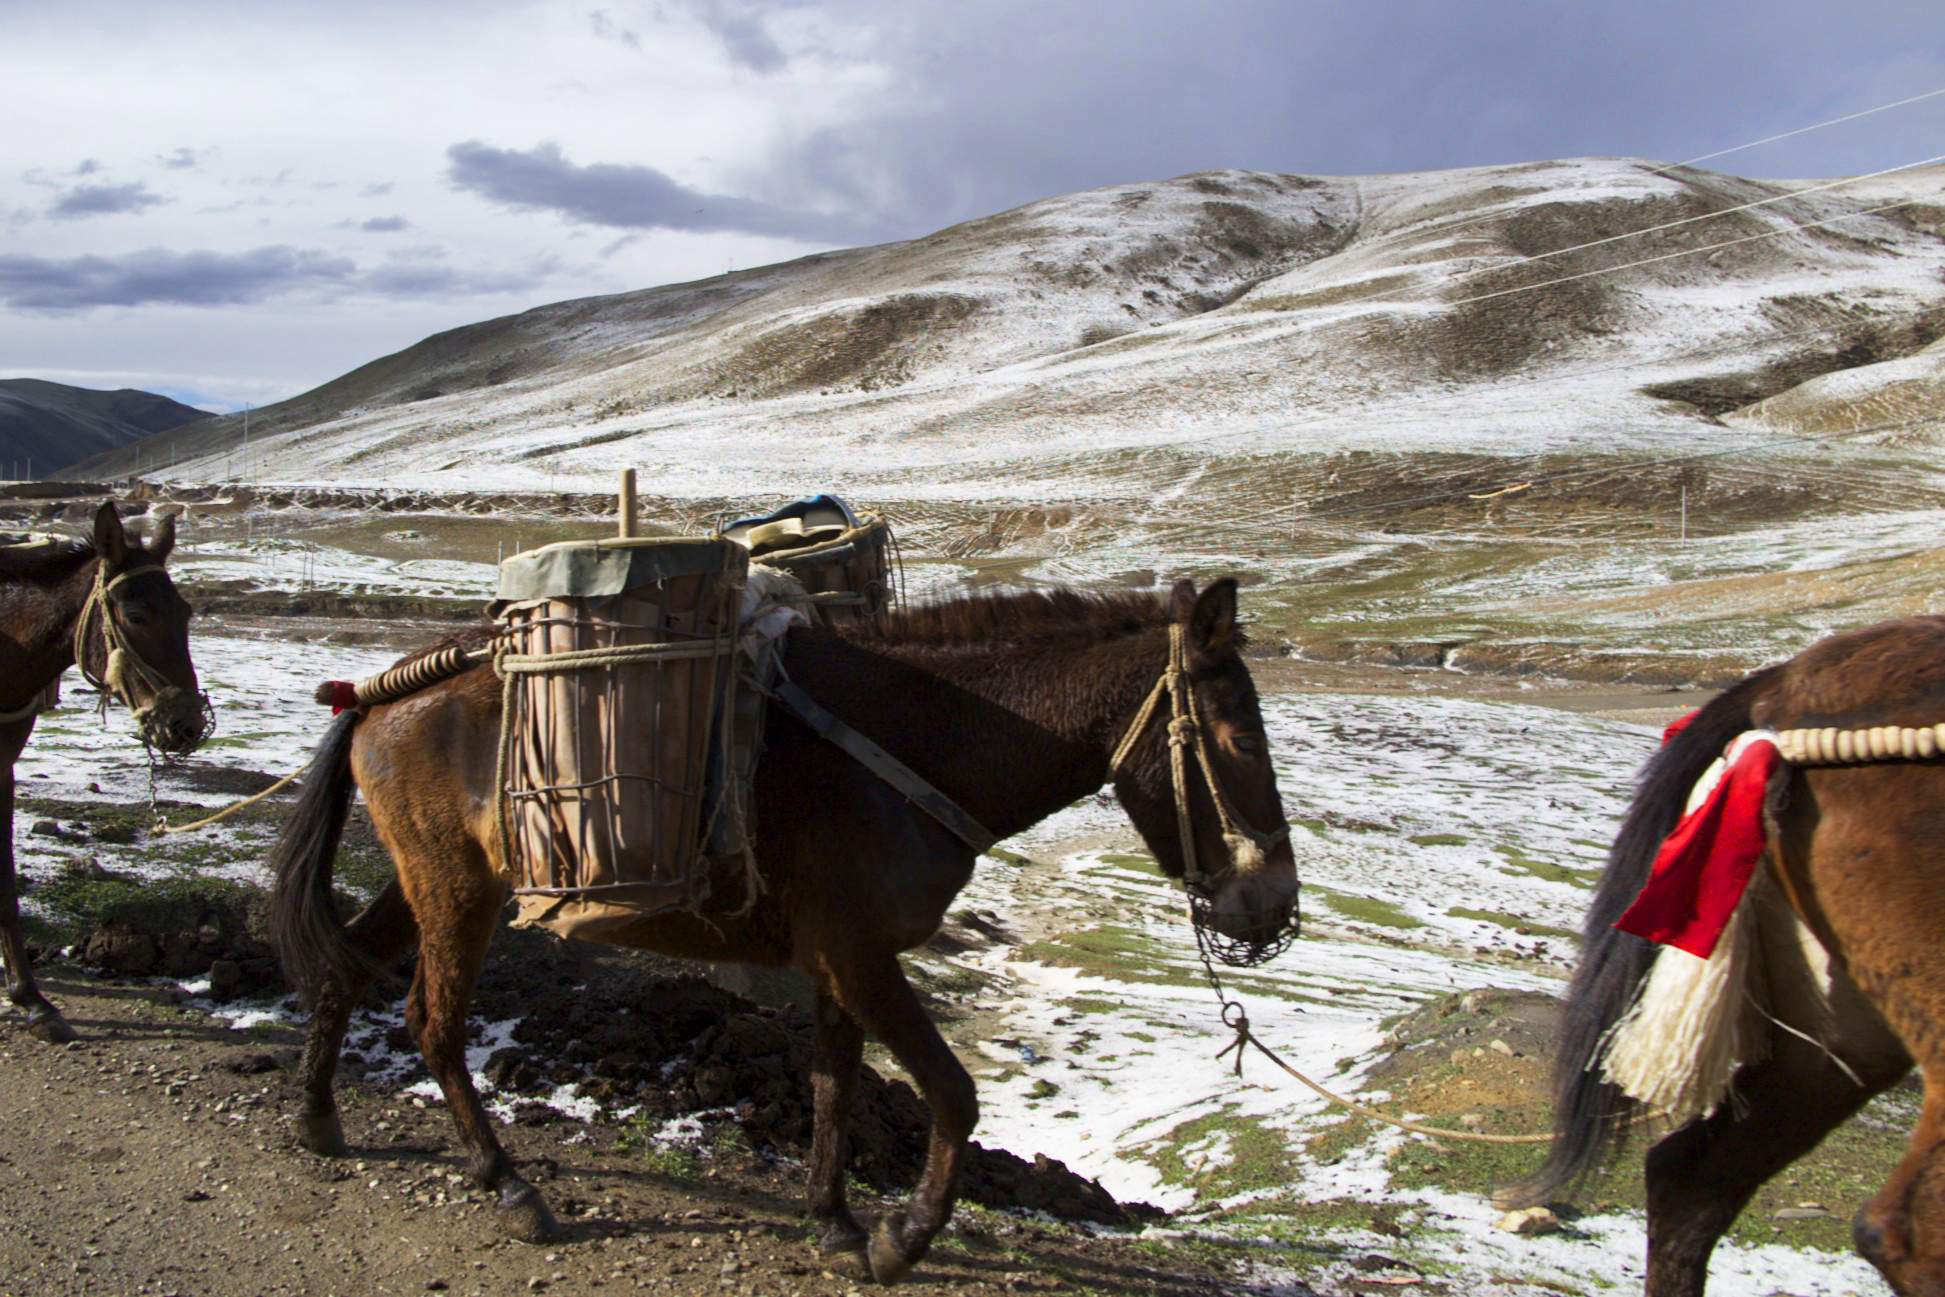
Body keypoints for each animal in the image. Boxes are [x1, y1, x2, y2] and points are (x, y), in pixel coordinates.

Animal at [270, 575, 1291, 1275]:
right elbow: (952, 1092)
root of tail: (381, 692)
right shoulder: (859, 956)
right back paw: (511, 1187)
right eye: (1240, 739)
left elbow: (833, 1081)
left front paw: (833, 1219)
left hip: (430, 882)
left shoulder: (841, 958)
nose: (1275, 910)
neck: (922, 746)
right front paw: (901, 1239)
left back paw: (318, 1116)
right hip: (458, 893)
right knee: (431, 1022)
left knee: (348, 967)